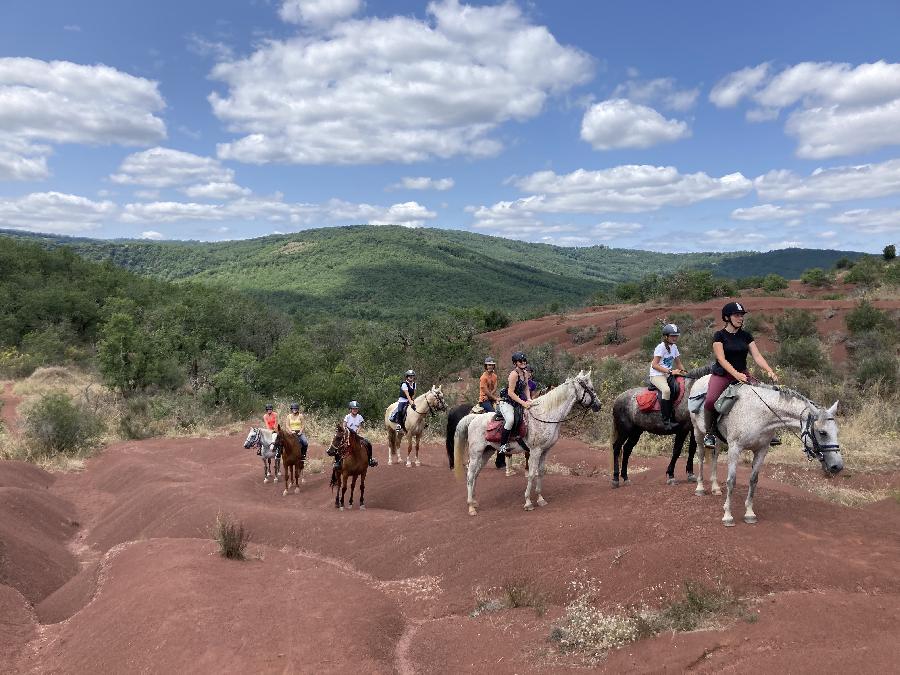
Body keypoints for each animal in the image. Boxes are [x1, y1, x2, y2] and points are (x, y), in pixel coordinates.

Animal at [454, 372, 600, 516]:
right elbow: (531, 474)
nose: (599, 405)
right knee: (470, 475)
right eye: (591, 388)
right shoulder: (535, 451)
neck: (546, 415)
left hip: (486, 452)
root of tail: (474, 418)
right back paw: (471, 507)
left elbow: (540, 472)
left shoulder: (545, 451)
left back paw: (474, 501)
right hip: (476, 453)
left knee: (476, 474)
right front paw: (528, 502)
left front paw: (540, 499)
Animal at [688, 374, 844, 528]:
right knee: (701, 456)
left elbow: (753, 480)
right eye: (822, 432)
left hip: (719, 439)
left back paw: (715, 488)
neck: (759, 414)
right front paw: (728, 515)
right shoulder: (734, 448)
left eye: (837, 431)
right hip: (697, 432)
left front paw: (749, 513)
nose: (837, 466)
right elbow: (731, 481)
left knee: (714, 456)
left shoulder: (762, 450)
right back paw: (700, 488)